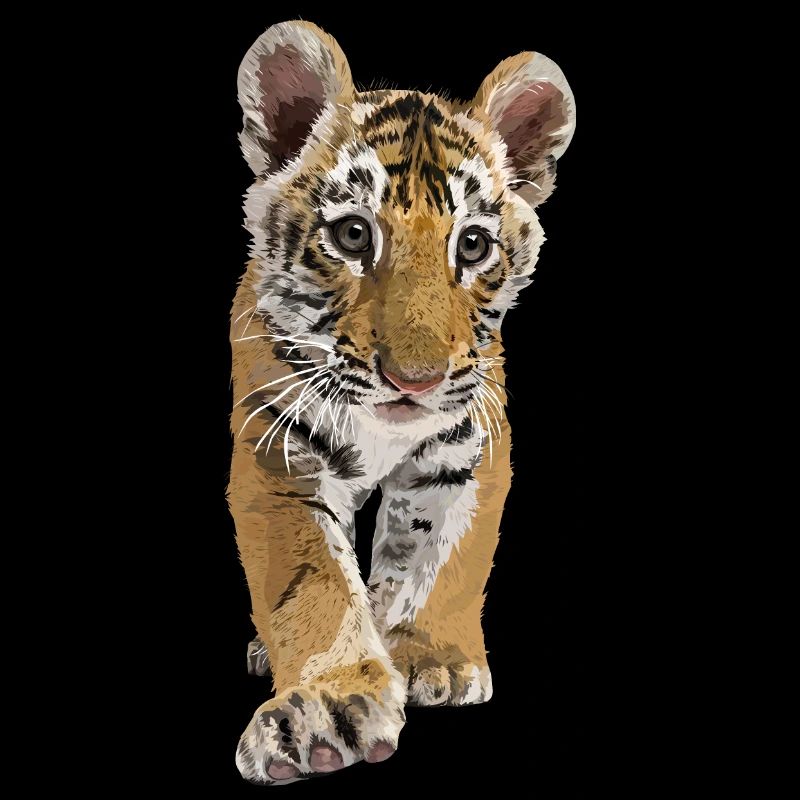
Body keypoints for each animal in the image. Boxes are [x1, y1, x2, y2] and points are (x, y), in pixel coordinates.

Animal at [229, 20, 575, 784]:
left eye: (472, 245)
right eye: (353, 234)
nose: (413, 380)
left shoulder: (468, 446)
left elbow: (441, 557)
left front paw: (430, 658)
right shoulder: (279, 453)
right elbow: (315, 581)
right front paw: (327, 709)